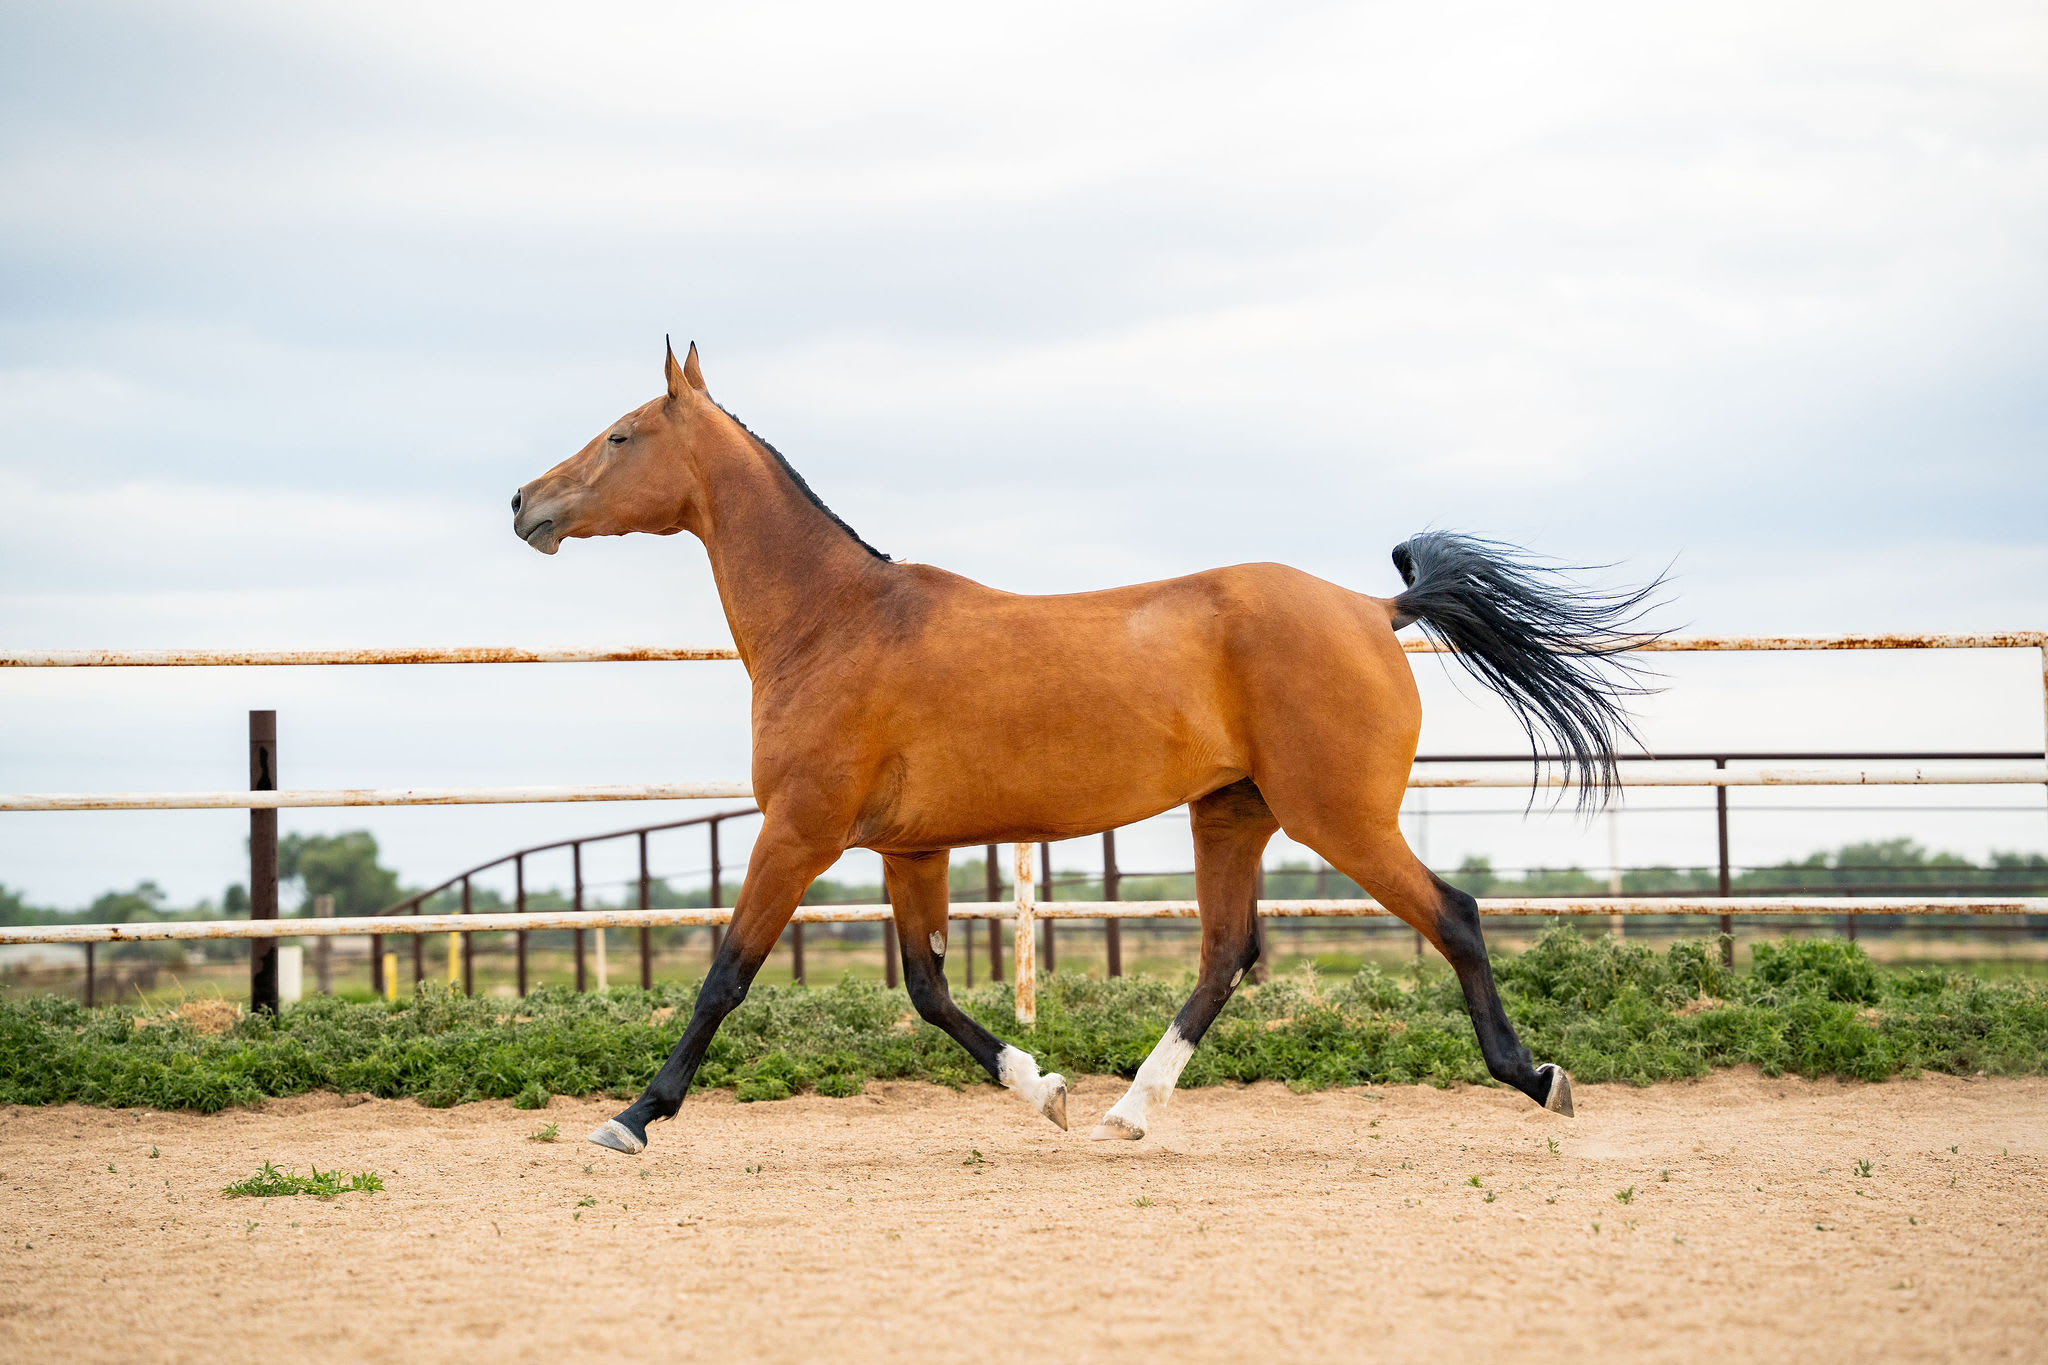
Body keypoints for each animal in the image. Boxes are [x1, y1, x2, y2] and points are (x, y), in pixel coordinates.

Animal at [512, 340, 1658, 1154]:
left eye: (620, 436)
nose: (525, 502)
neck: (834, 623)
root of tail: (1376, 609)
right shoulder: (907, 848)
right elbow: (928, 990)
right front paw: (1048, 1089)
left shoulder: (797, 832)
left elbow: (726, 975)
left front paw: (631, 1117)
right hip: (1232, 812)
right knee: (1225, 953)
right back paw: (1127, 1111)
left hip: (1337, 816)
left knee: (1451, 916)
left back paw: (1539, 1078)